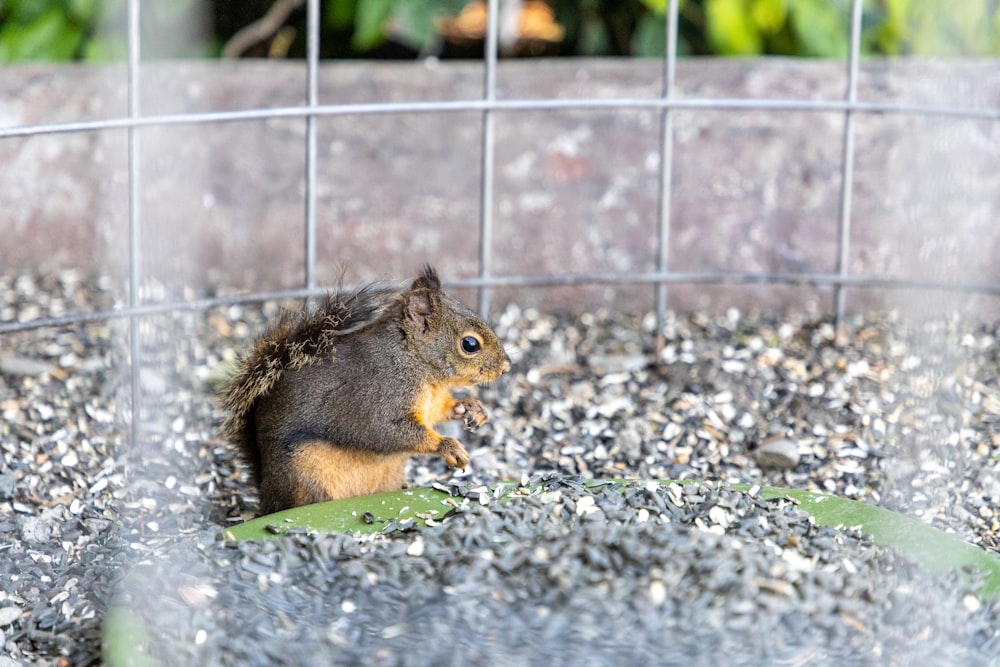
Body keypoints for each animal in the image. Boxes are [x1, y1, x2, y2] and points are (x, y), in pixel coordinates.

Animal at [222, 266, 512, 516]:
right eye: (470, 344)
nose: (506, 367)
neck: (415, 362)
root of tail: (267, 495)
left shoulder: (432, 401)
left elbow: (442, 410)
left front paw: (472, 409)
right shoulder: (378, 395)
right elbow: (385, 431)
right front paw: (448, 446)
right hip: (304, 478)